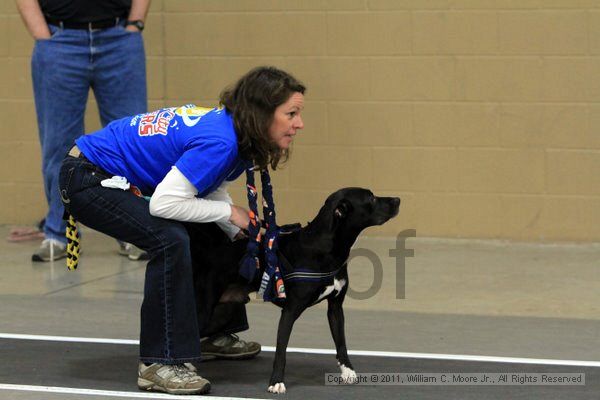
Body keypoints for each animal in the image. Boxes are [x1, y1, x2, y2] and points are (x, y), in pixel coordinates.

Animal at [190, 188, 400, 394]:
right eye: (371, 199)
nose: (397, 199)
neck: (325, 246)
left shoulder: (335, 308)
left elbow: (341, 342)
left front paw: (348, 370)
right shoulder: (289, 311)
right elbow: (281, 351)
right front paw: (276, 382)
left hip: (222, 309)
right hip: (204, 309)